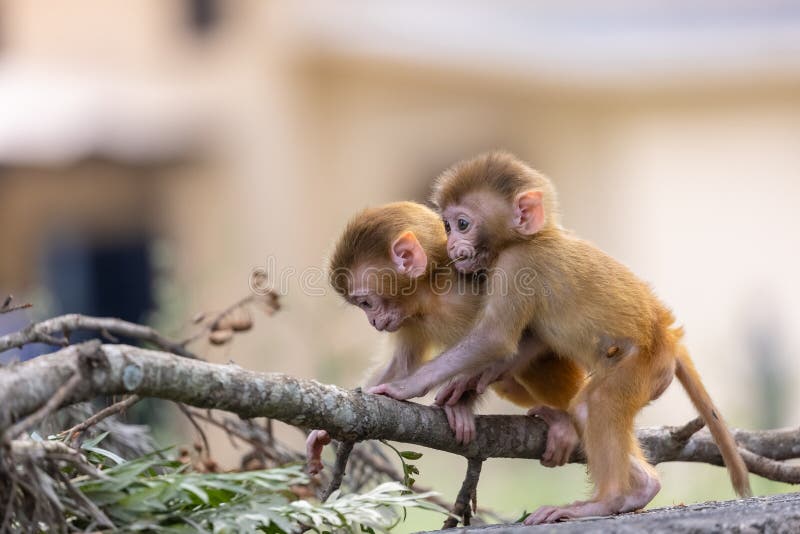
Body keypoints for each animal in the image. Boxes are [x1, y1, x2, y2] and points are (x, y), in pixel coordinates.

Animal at [306, 201, 586, 474]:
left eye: (366, 303)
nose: (373, 322)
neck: (432, 292)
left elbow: (516, 338)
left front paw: (459, 400)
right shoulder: (408, 318)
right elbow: (402, 365)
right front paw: (322, 432)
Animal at [368, 152, 751, 524]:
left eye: (462, 224)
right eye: (446, 226)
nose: (450, 244)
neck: (530, 237)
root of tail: (669, 336)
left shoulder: (516, 265)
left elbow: (495, 338)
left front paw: (406, 387)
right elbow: (522, 341)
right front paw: (471, 380)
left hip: (643, 366)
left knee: (596, 403)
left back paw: (609, 500)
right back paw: (642, 486)